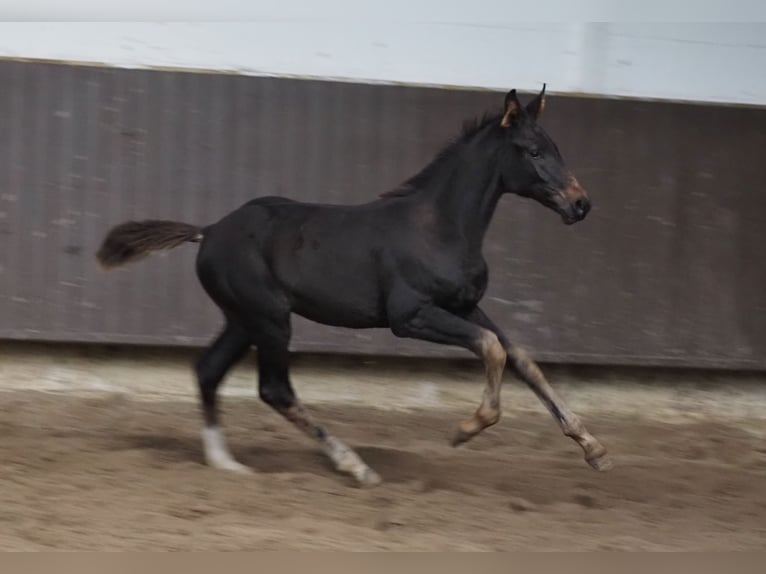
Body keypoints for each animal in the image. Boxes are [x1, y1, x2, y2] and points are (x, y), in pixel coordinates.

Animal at [97, 86, 612, 486]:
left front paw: (593, 447)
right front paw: (467, 427)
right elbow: (492, 348)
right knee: (274, 389)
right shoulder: (410, 316)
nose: (581, 204)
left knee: (209, 370)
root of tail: (208, 231)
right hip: (270, 319)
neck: (440, 226)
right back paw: (355, 466)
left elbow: (519, 356)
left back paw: (225, 463)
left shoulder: (465, 306)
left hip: (242, 320)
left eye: (556, 146)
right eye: (533, 150)